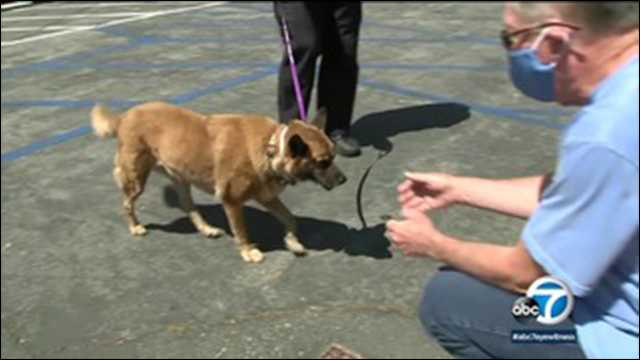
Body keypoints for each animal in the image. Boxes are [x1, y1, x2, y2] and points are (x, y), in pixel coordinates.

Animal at [90, 101, 344, 262]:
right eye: (323, 162)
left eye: (334, 155)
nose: (344, 179)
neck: (272, 147)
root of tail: (124, 116)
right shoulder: (232, 201)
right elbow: (241, 230)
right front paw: (248, 251)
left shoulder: (267, 197)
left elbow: (290, 219)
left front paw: (292, 242)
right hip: (136, 179)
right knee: (127, 204)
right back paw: (135, 226)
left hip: (181, 178)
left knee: (188, 206)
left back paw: (206, 229)